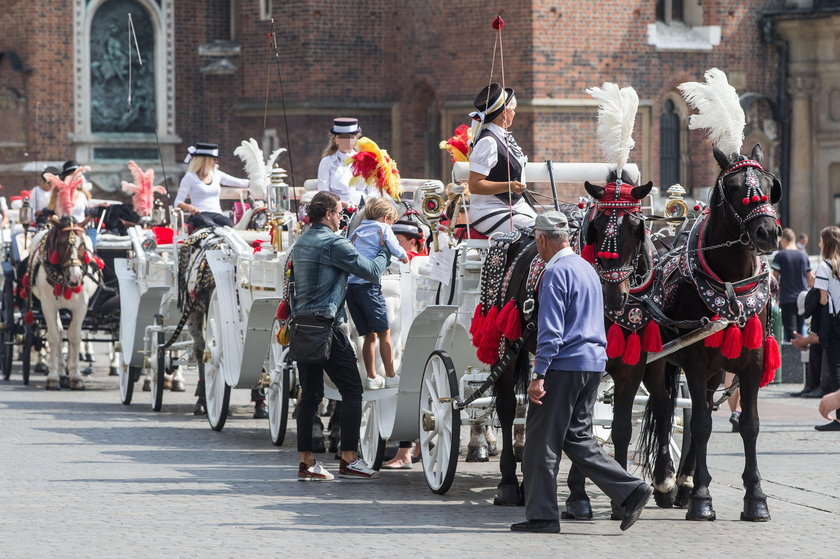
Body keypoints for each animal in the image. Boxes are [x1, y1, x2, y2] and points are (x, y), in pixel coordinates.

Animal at [640, 143, 784, 520]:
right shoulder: (694, 362)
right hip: (657, 360)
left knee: (694, 406)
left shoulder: (751, 366)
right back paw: (666, 481)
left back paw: (684, 484)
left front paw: (756, 499)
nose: (768, 233)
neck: (731, 286)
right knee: (663, 408)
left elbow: (750, 425)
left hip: (714, 371)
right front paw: (703, 498)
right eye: (733, 188)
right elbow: (702, 425)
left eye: (769, 185)